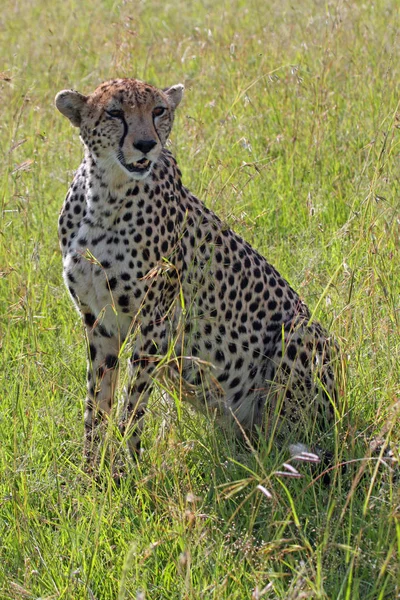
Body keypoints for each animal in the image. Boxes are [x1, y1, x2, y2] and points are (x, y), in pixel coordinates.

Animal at [55, 77, 338, 466]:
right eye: (115, 112)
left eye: (159, 111)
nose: (146, 144)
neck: (106, 193)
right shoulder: (99, 322)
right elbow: (96, 407)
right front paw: (90, 472)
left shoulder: (154, 321)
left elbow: (132, 407)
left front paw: (127, 471)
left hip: (301, 332)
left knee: (298, 431)